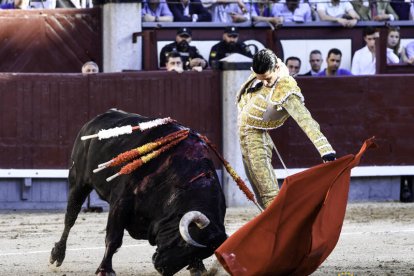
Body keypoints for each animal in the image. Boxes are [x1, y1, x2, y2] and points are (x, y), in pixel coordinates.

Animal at [51, 110, 230, 276]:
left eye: (201, 254)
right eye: (183, 244)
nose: (162, 268)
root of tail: (94, 120)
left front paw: (198, 268)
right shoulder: (120, 202)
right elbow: (114, 239)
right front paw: (105, 270)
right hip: (78, 182)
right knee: (70, 218)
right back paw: (57, 254)